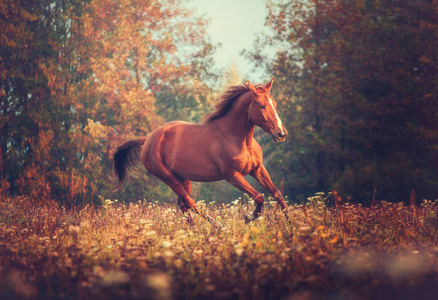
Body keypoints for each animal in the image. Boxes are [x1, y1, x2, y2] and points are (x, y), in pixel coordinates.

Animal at [109, 78, 290, 226]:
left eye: (274, 104)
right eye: (262, 105)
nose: (281, 133)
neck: (237, 138)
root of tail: (148, 139)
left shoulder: (257, 169)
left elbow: (277, 194)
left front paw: (291, 223)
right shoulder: (232, 175)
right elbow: (259, 197)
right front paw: (248, 217)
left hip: (184, 179)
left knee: (183, 204)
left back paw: (193, 231)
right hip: (169, 179)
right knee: (190, 203)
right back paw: (218, 225)